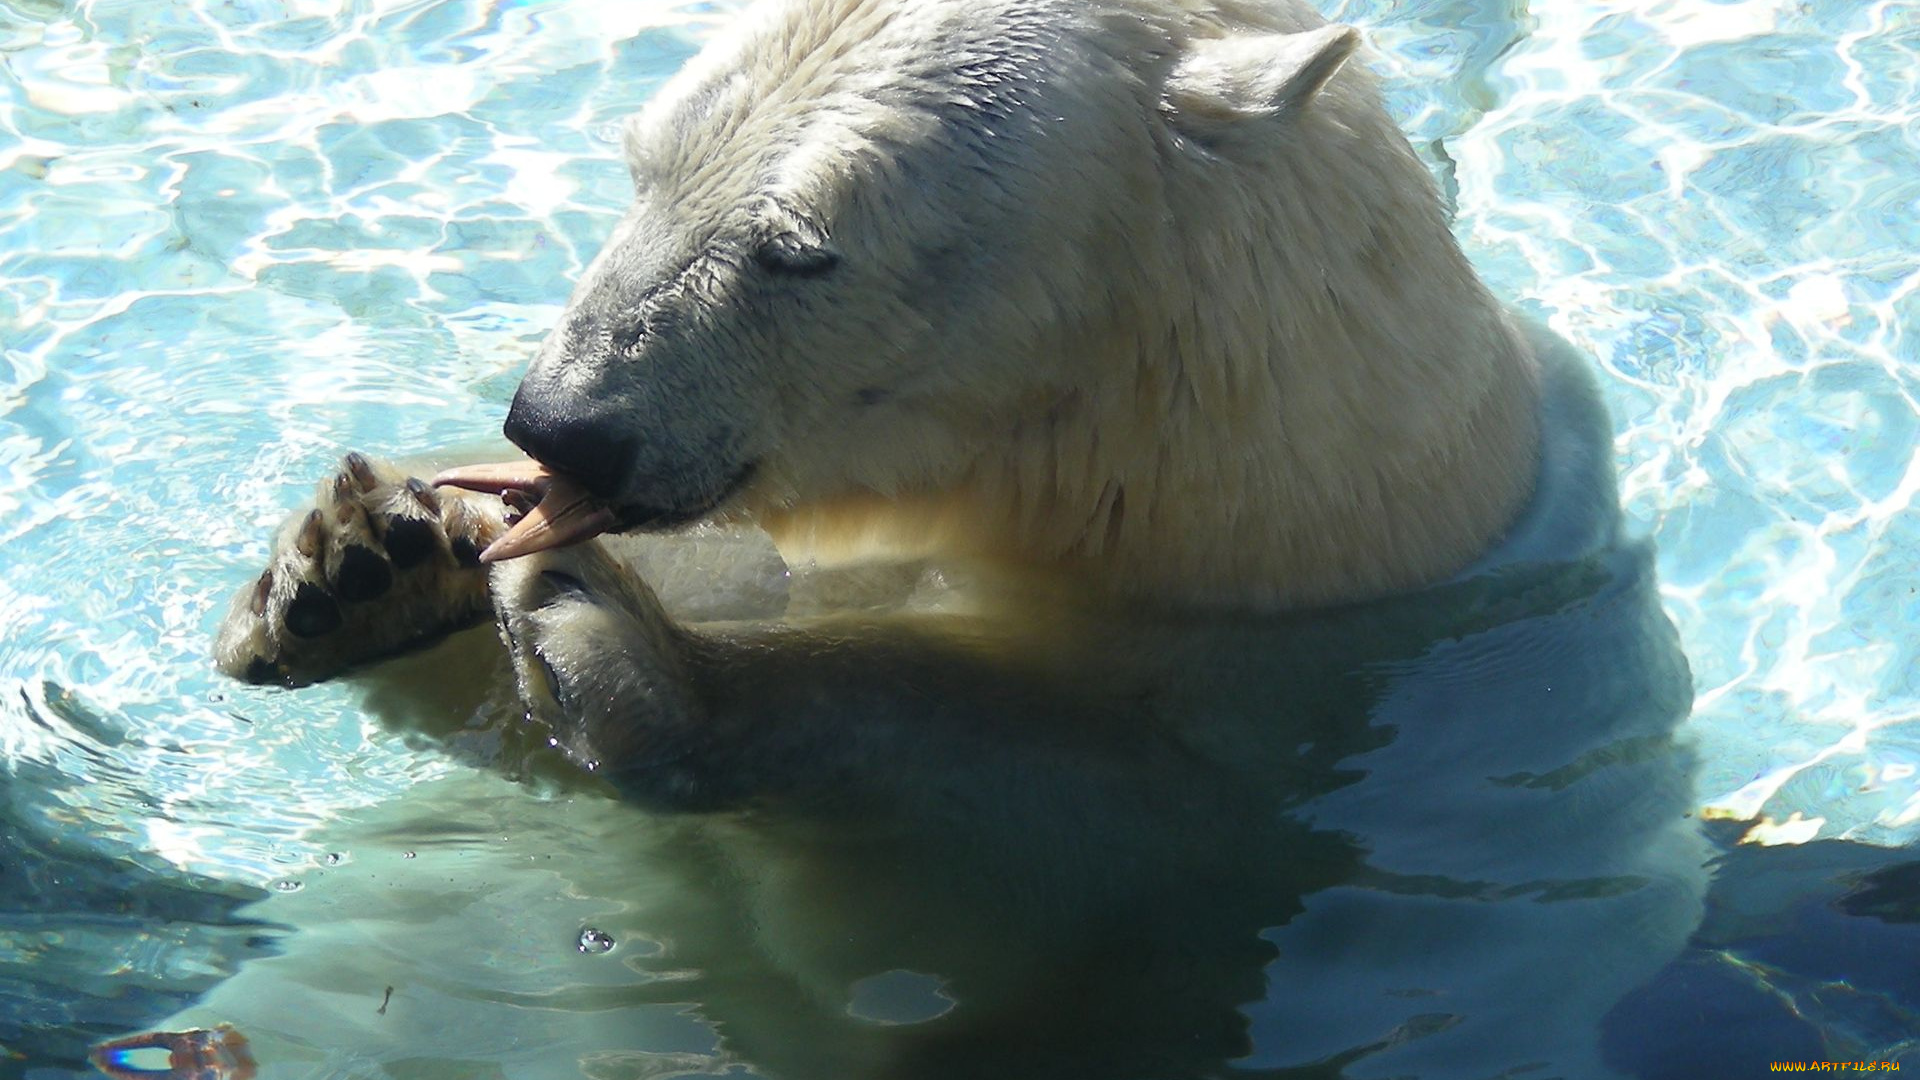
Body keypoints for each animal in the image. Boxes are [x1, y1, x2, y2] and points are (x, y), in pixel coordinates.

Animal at [199, 0, 1701, 1076]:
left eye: (799, 246)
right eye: (640, 164)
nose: (563, 423)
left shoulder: (1339, 695)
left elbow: (1014, 847)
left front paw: (624, 652)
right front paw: (364, 556)